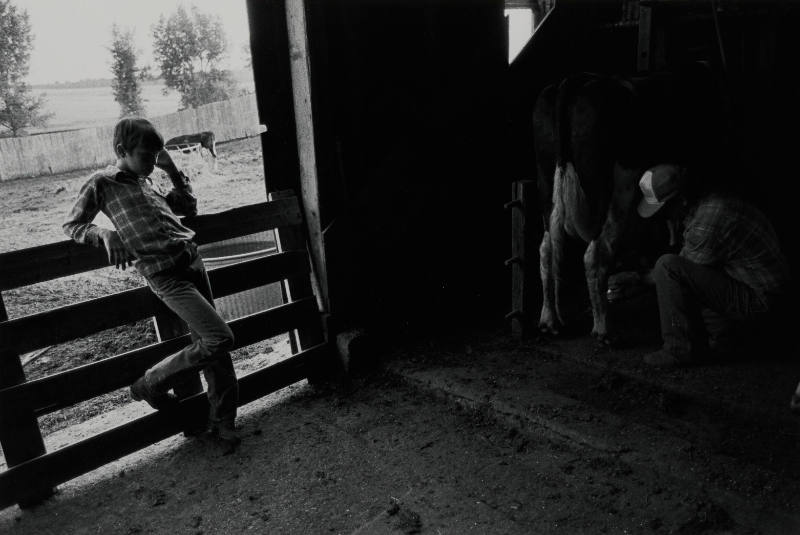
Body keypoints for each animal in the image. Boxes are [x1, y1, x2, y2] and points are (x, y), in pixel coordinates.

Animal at [536, 62, 728, 346]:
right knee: (596, 254)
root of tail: (572, 81)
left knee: (549, 249)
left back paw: (551, 320)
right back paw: (603, 330)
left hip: (548, 183)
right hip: (617, 190)